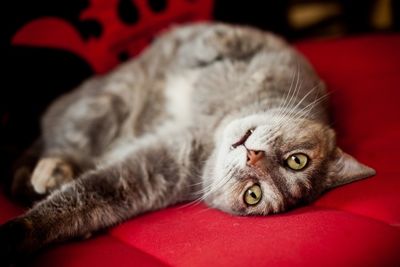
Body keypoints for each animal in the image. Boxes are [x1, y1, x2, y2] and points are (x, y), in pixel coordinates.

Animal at [0, 23, 376, 266]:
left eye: (253, 195)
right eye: (297, 160)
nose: (253, 157)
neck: (218, 124)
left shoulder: (151, 172)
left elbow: (85, 199)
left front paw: (19, 234)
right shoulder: (275, 54)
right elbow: (223, 39)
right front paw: (203, 47)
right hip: (106, 102)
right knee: (62, 140)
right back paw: (50, 170)